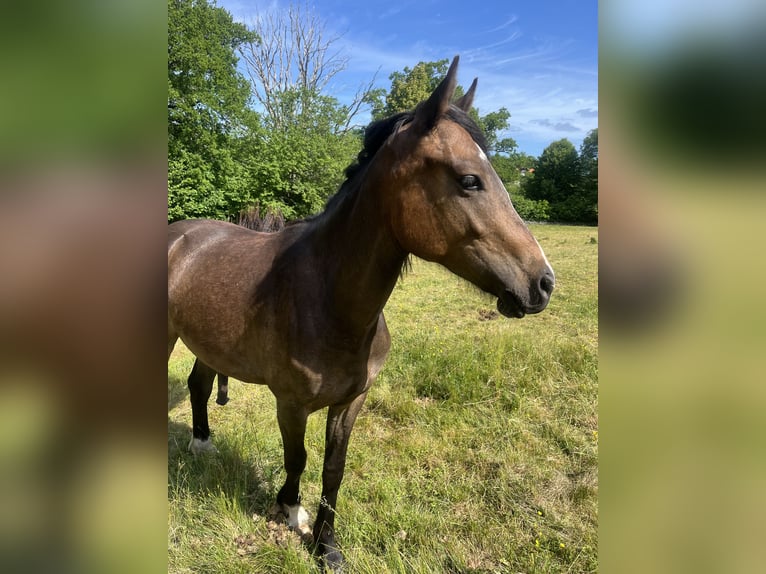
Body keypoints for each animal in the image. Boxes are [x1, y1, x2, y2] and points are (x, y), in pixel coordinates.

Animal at [168, 56, 556, 568]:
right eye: (469, 180)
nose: (543, 283)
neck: (329, 301)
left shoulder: (352, 400)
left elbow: (334, 469)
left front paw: (326, 546)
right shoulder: (290, 403)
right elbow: (298, 459)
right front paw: (289, 510)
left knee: (198, 384)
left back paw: (203, 444)